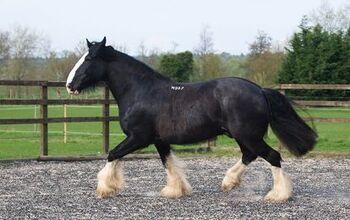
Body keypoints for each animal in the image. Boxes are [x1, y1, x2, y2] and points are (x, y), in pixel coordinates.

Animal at [65, 37, 318, 202]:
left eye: (89, 59)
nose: (69, 85)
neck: (141, 91)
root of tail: (260, 90)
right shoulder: (159, 140)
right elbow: (168, 164)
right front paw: (175, 191)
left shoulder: (138, 138)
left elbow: (112, 154)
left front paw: (105, 189)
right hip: (243, 136)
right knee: (250, 155)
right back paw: (229, 182)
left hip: (248, 135)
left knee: (272, 156)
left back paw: (277, 195)